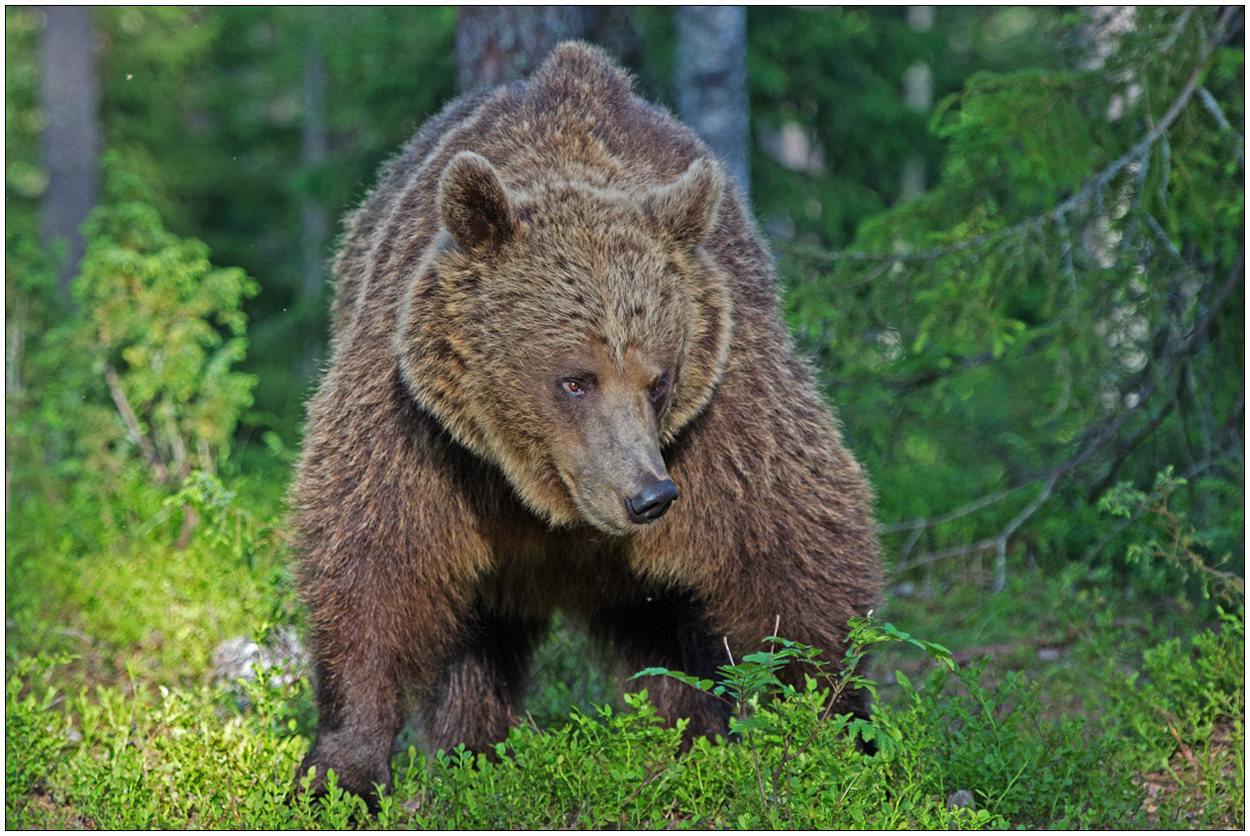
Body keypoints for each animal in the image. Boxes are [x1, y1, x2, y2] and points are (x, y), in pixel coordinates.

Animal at [291, 42, 880, 804]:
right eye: (574, 378)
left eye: (659, 380)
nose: (648, 496)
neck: (549, 500)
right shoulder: (423, 430)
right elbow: (374, 561)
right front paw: (344, 769)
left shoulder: (725, 407)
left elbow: (792, 546)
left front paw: (835, 732)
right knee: (475, 648)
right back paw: (478, 751)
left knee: (670, 645)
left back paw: (687, 745)